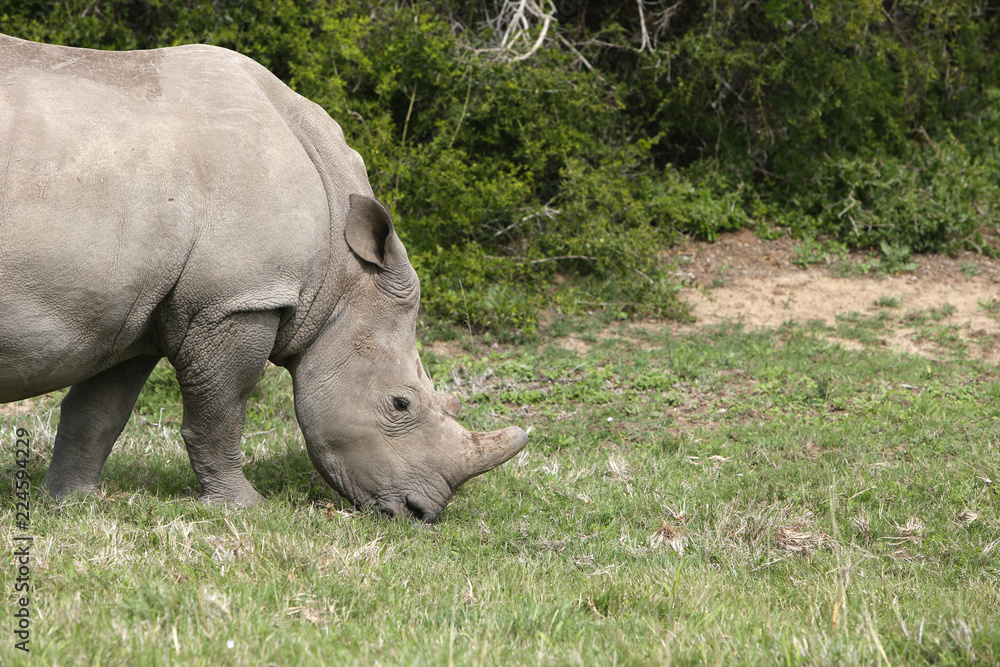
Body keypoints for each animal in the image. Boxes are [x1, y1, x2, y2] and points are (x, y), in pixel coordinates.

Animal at [0, 34, 527, 521]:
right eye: (400, 404)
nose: (421, 513)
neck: (341, 271)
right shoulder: (236, 301)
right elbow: (221, 413)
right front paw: (244, 507)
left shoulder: (134, 306)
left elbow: (99, 412)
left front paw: (71, 502)